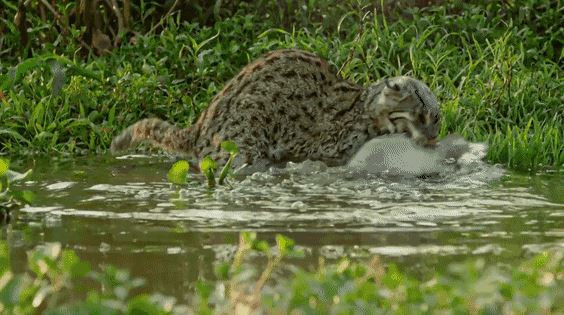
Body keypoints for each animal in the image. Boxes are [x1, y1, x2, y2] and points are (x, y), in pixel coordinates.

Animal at [110, 48, 440, 169]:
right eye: (421, 115)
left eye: (437, 120)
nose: (434, 138)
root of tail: (199, 127)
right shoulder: (324, 146)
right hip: (242, 145)